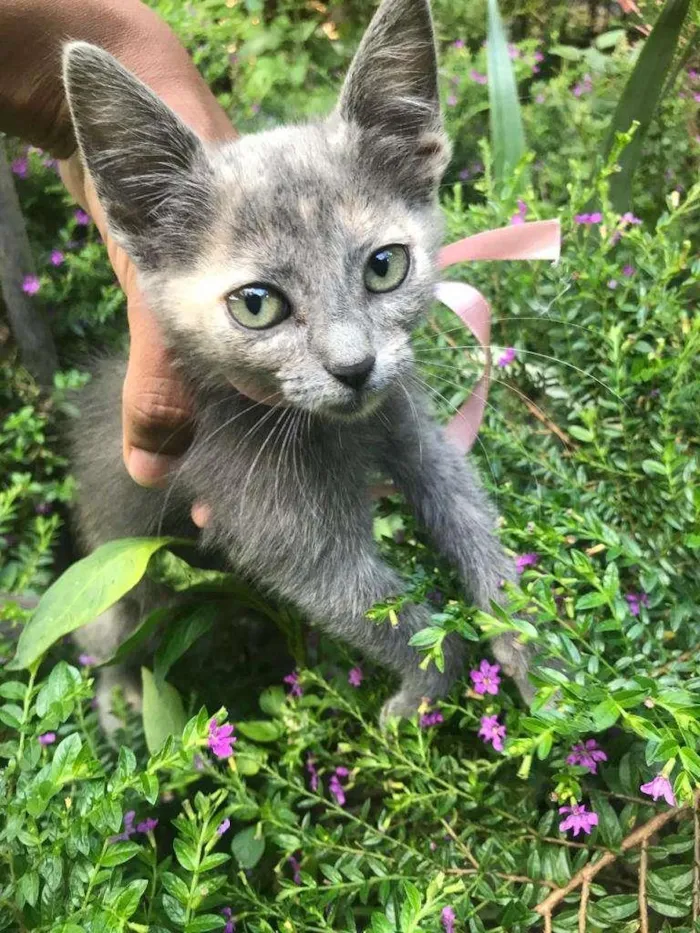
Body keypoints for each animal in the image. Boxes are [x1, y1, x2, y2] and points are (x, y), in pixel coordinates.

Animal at [67, 0, 536, 724]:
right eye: (257, 305)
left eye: (385, 266)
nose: (355, 367)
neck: (343, 431)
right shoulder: (272, 522)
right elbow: (374, 609)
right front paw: (425, 689)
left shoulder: (411, 425)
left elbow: (462, 504)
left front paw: (518, 629)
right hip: (116, 574)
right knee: (112, 635)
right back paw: (121, 700)